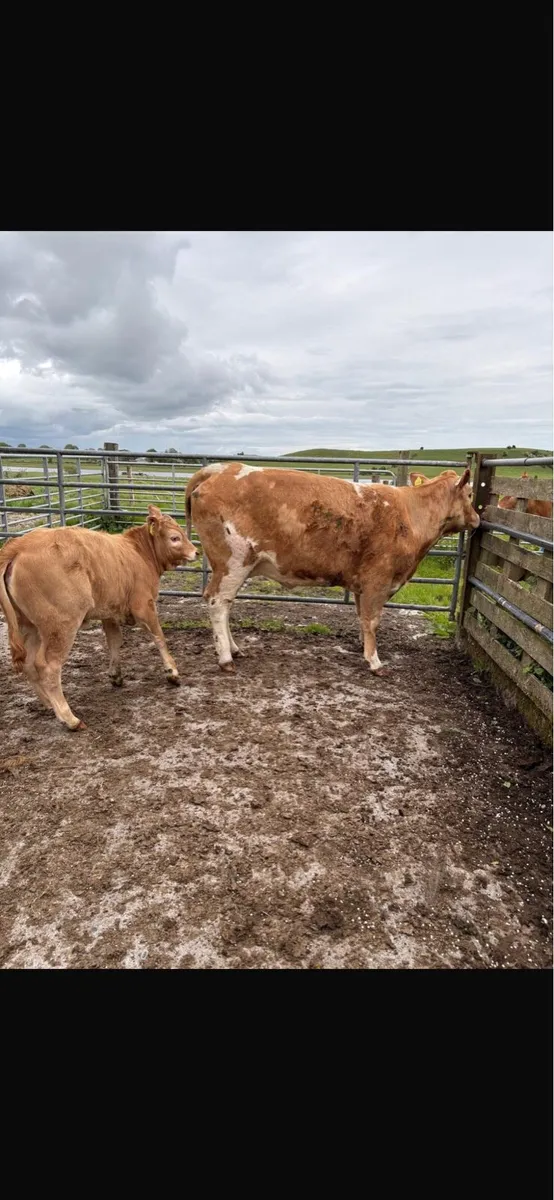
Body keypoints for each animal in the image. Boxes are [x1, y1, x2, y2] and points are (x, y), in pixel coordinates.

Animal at [0, 506, 196, 730]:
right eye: (175, 538)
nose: (196, 552)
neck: (138, 553)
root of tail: (19, 546)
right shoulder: (144, 605)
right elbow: (159, 637)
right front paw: (172, 672)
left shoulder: (109, 612)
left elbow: (115, 641)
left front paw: (116, 675)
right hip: (61, 626)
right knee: (48, 667)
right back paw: (69, 718)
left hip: (30, 626)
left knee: (29, 664)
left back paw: (50, 706)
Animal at [185, 463, 479, 675]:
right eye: (470, 493)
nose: (477, 519)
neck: (409, 513)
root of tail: (222, 468)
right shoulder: (378, 579)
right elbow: (372, 620)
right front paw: (375, 662)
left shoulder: (363, 584)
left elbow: (362, 618)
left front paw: (364, 648)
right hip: (233, 561)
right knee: (217, 602)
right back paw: (225, 658)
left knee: (226, 604)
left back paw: (235, 649)